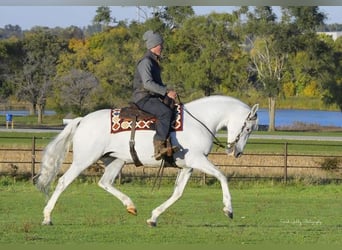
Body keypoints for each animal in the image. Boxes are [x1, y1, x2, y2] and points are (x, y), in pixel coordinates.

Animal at [35, 95, 260, 227]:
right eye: (248, 128)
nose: (237, 152)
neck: (200, 121)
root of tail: (83, 120)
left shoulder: (187, 167)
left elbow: (177, 193)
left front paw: (153, 217)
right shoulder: (197, 160)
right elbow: (222, 176)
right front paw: (228, 209)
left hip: (116, 161)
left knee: (104, 182)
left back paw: (130, 205)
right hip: (84, 160)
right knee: (63, 182)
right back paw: (47, 217)